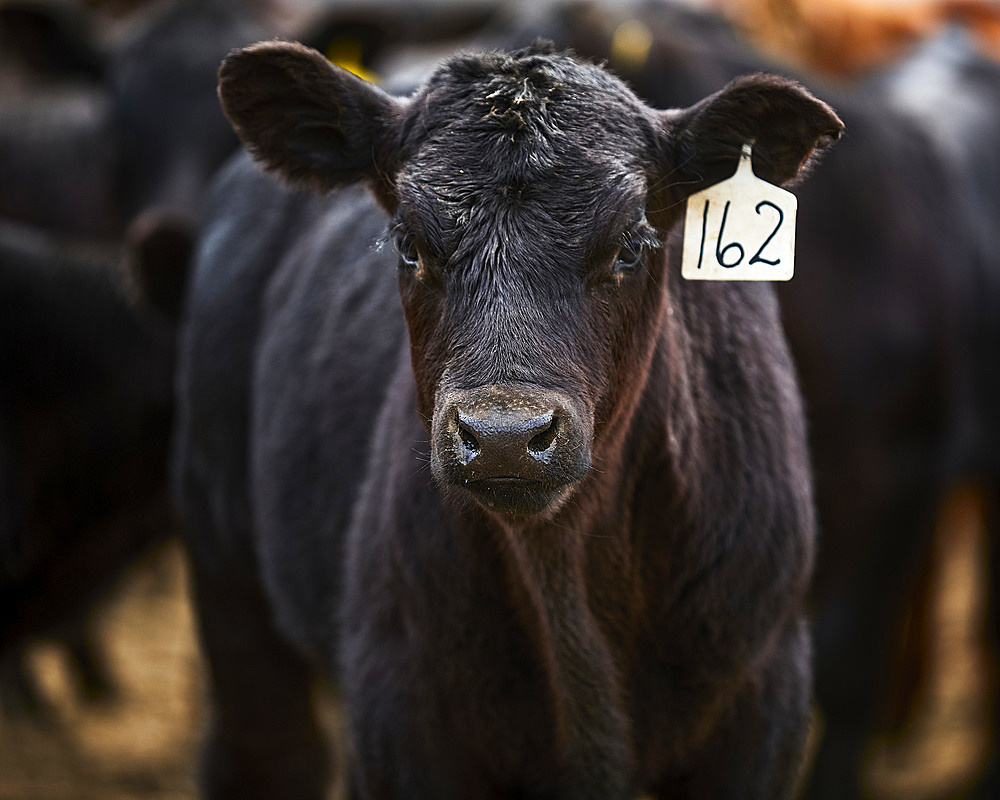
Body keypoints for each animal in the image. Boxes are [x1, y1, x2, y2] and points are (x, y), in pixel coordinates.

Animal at [174, 40, 844, 796]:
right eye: (408, 244)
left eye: (630, 245)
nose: (504, 438)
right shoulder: (398, 712)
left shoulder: (764, 699)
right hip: (223, 563)